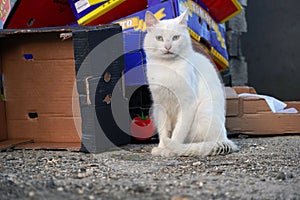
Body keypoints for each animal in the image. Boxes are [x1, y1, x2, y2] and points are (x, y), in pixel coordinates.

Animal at [144, 9, 239, 157]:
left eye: (175, 38)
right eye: (159, 38)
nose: (167, 46)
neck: (168, 67)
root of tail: (225, 139)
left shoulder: (187, 104)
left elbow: (177, 132)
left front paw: (169, 150)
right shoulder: (161, 106)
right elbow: (163, 131)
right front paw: (161, 148)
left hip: (204, 112)